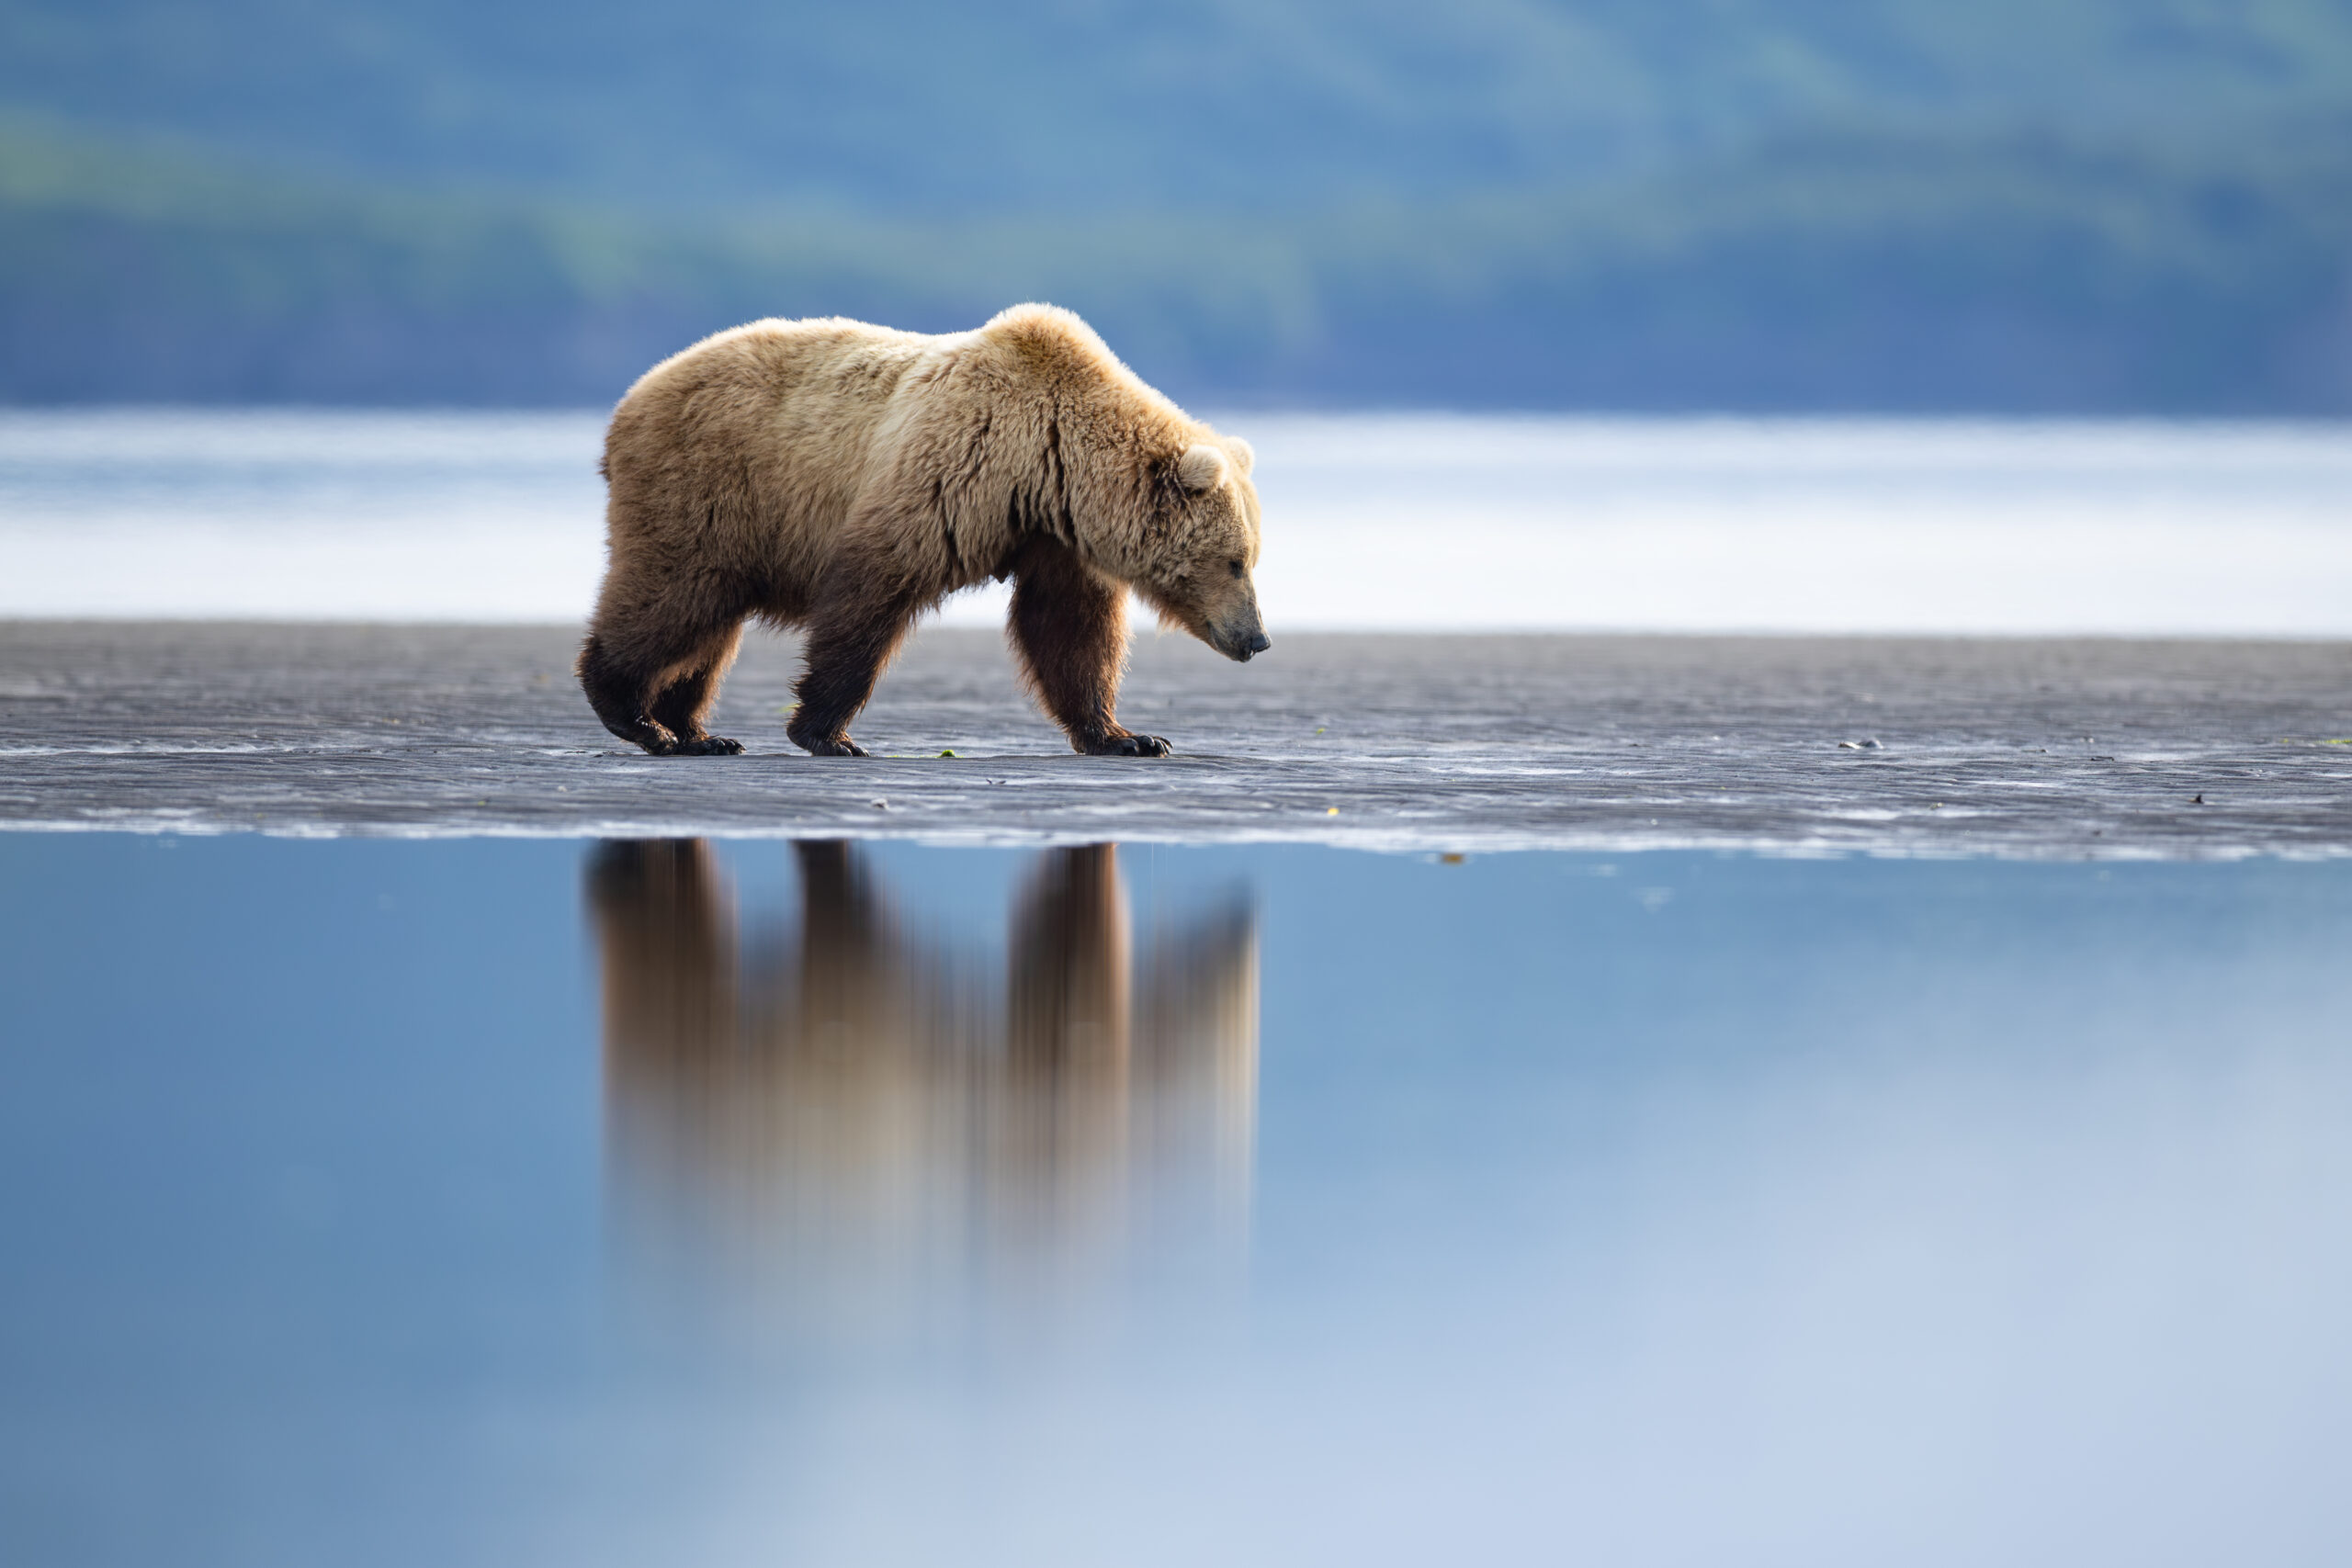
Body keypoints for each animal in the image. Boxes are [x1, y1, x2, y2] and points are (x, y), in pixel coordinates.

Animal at [577, 303, 1269, 758]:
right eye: (1236, 560)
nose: (1258, 638)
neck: (1051, 464)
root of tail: (626, 405)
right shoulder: (952, 472)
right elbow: (869, 594)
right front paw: (827, 733)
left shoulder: (1053, 537)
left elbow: (1070, 629)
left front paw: (1128, 735)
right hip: (709, 486)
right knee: (674, 597)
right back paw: (634, 714)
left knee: (709, 627)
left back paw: (698, 732)